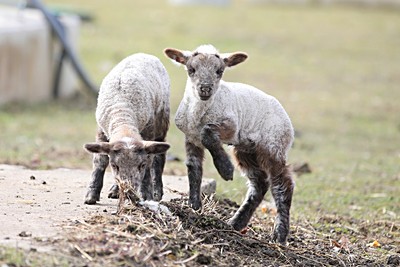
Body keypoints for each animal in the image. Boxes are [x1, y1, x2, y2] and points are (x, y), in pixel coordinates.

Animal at [83, 52, 171, 207]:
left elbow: (149, 164)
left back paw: (156, 191)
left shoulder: (148, 131)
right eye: (114, 165)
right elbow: (100, 161)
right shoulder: (101, 131)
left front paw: (146, 194)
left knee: (159, 157)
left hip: (162, 119)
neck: (122, 114)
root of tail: (145, 54)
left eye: (141, 165)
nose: (129, 192)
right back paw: (115, 190)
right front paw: (91, 195)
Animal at [164, 45, 296, 246]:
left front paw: (225, 169)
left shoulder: (231, 127)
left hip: (273, 145)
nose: (205, 89)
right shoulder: (191, 137)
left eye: (219, 71)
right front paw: (194, 206)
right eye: (191, 69)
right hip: (246, 150)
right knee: (259, 184)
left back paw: (279, 235)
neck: (199, 114)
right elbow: (193, 168)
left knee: (283, 186)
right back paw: (235, 223)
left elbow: (208, 134)